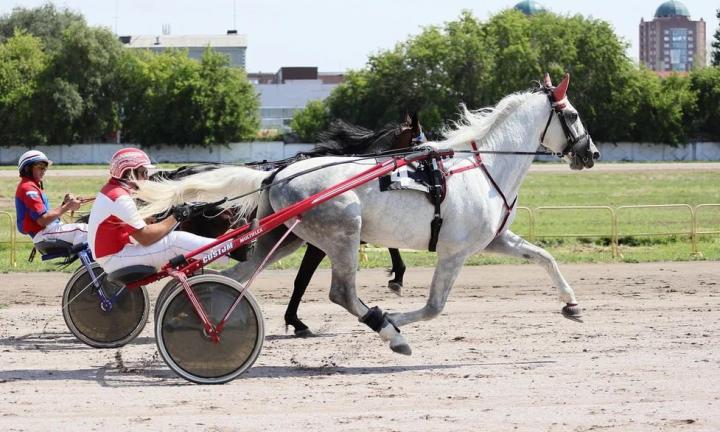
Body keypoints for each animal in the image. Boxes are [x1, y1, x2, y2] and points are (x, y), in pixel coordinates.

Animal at [138, 73, 600, 354]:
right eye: (574, 114)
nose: (591, 153)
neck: (482, 166)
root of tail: (278, 172)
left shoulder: (494, 239)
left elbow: (544, 256)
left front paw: (572, 305)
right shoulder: (454, 251)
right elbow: (434, 306)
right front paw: (392, 319)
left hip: (283, 238)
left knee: (229, 275)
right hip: (342, 231)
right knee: (341, 293)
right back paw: (387, 331)